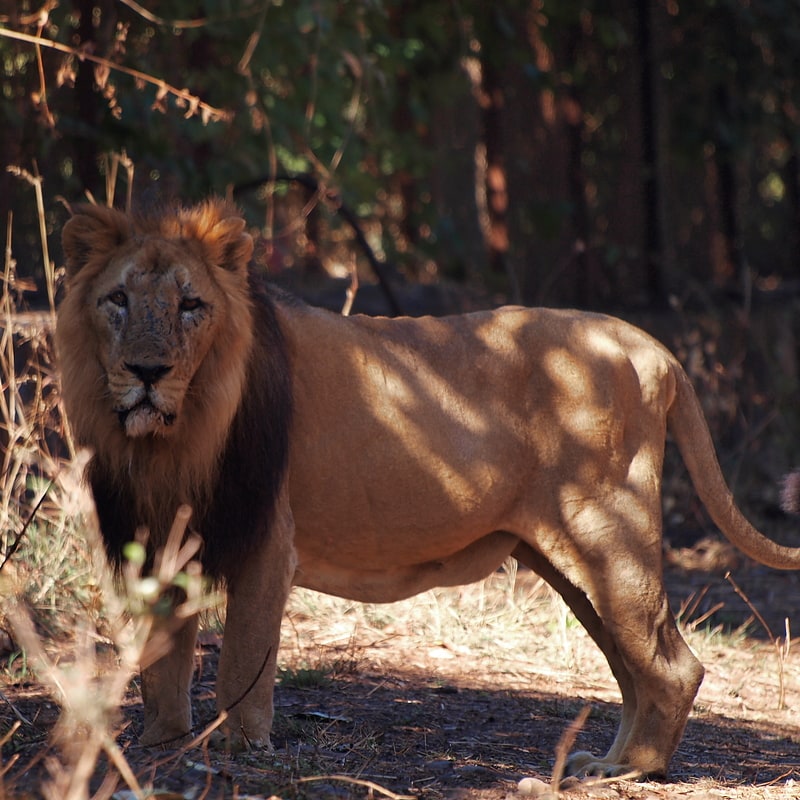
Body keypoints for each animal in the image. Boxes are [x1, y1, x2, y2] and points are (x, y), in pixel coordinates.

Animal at [56, 197, 800, 780]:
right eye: (118, 301)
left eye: (191, 305)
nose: (147, 372)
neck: (171, 442)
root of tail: (652, 347)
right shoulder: (151, 541)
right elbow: (160, 665)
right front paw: (162, 747)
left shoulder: (266, 541)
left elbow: (243, 663)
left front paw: (240, 753)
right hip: (566, 561)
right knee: (635, 666)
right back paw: (612, 762)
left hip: (608, 539)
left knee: (673, 666)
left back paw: (627, 772)